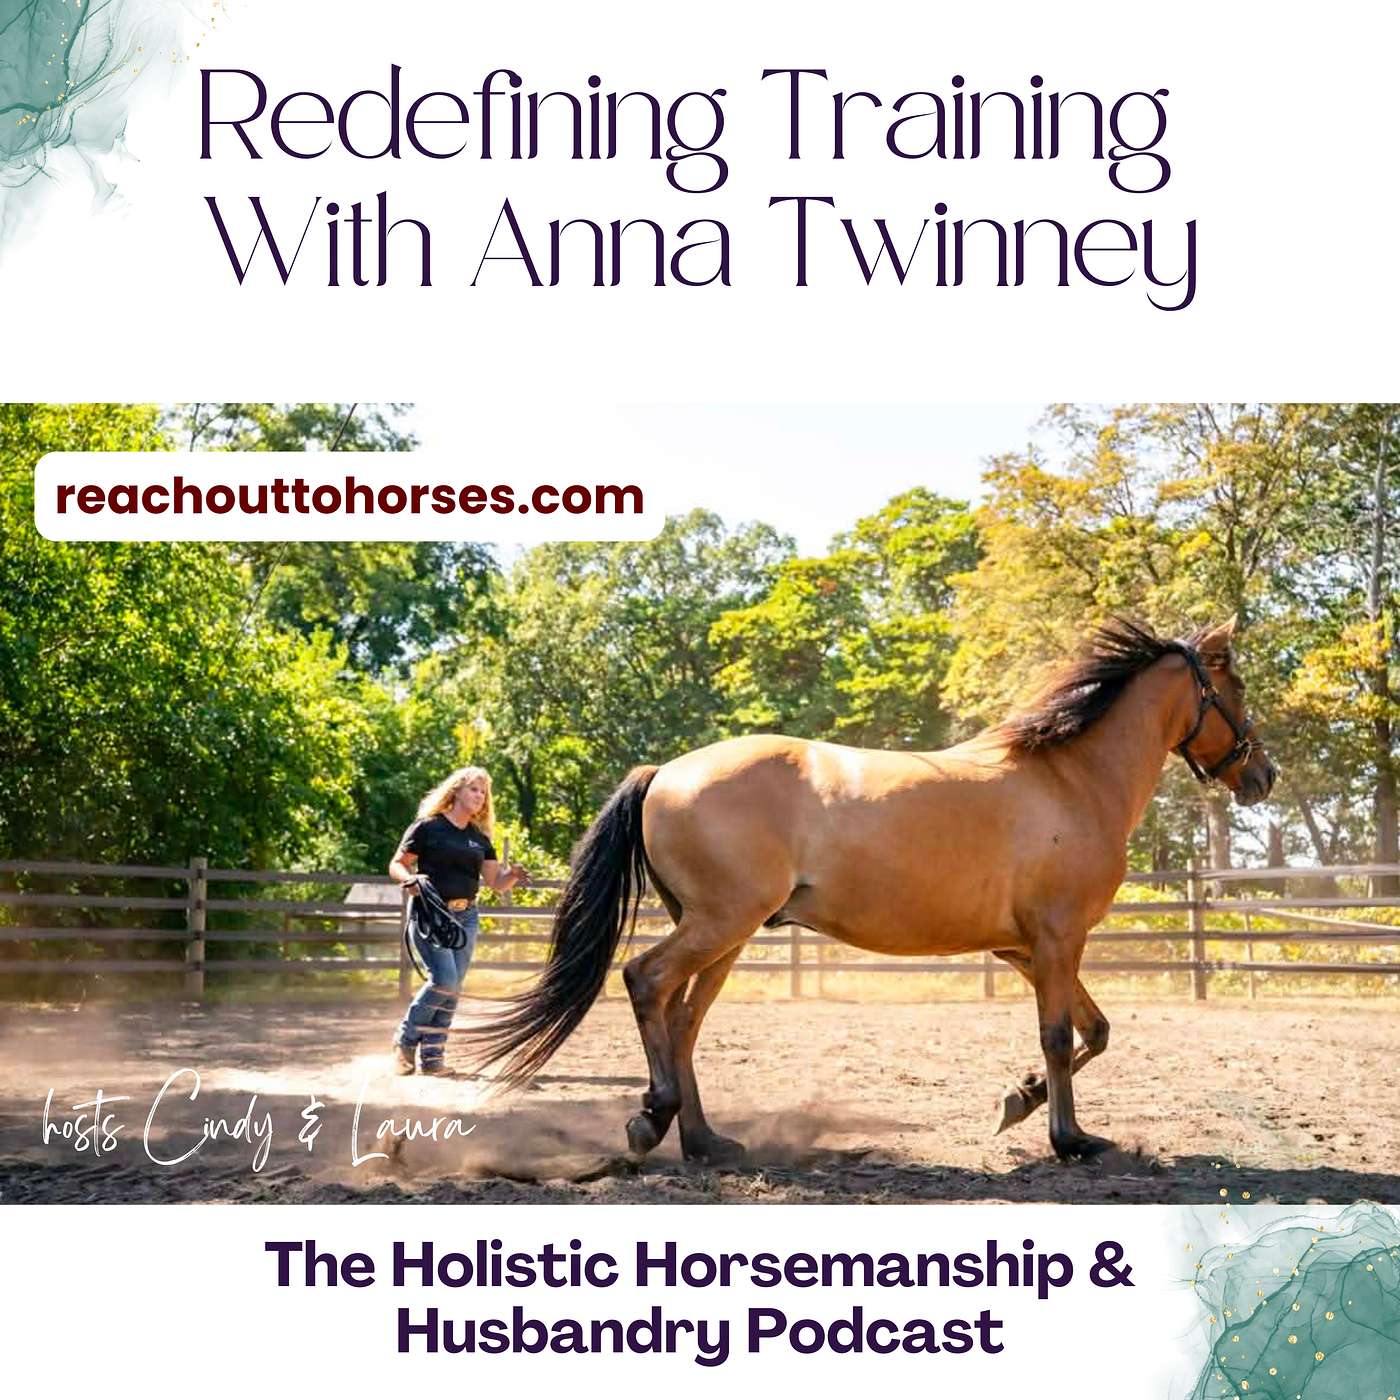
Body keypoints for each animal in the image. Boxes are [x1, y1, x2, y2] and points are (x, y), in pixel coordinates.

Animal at [464, 617, 1275, 1163]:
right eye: (1233, 685)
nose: (1262, 775)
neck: (1071, 780)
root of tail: (663, 771)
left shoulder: (1027, 950)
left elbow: (1094, 1031)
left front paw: (1016, 1102)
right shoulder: (1055, 940)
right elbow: (1056, 1036)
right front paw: (1068, 1138)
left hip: (723, 934)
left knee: (682, 1018)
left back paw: (706, 1141)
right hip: (719, 924)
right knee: (644, 981)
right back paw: (651, 1119)